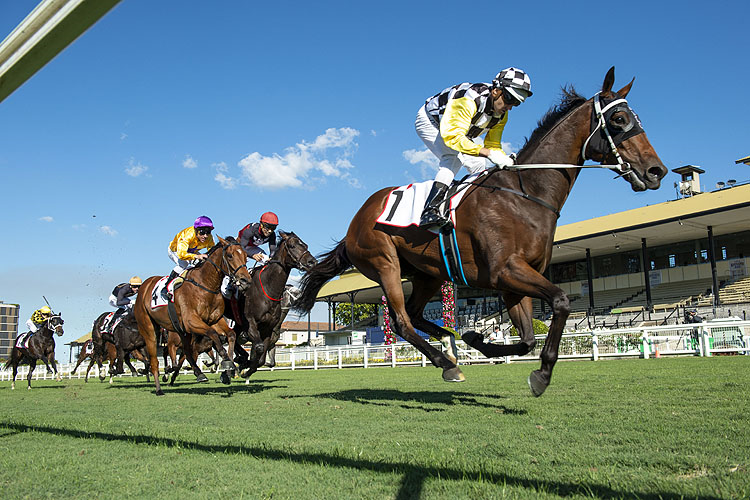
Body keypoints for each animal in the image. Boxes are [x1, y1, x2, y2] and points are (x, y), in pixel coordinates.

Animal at [296, 66, 668, 396]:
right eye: (619, 120)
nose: (656, 171)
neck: (525, 193)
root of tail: (355, 222)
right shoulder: (506, 271)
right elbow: (561, 302)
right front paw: (541, 374)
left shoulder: (514, 281)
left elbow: (528, 338)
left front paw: (480, 341)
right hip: (385, 263)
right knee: (402, 320)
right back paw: (445, 362)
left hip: (427, 273)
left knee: (415, 314)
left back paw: (451, 343)